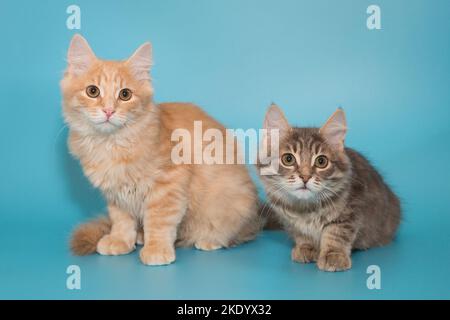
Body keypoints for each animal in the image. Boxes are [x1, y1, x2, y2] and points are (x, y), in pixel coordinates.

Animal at [63, 35, 260, 264]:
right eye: (92, 91)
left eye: (125, 94)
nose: (109, 111)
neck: (111, 144)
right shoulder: (116, 194)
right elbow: (121, 220)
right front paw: (120, 240)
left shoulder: (169, 184)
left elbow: (159, 221)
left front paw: (156, 249)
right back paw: (140, 237)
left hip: (231, 203)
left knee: (238, 233)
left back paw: (210, 240)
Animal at [256, 106, 400, 272]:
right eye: (288, 159)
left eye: (321, 161)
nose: (305, 177)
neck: (305, 209)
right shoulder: (290, 221)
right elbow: (302, 235)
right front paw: (306, 247)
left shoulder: (350, 210)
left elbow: (336, 234)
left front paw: (334, 256)